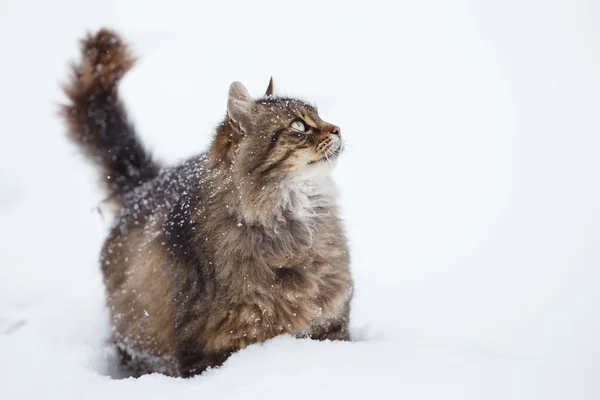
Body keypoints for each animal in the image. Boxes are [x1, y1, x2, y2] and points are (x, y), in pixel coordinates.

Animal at [61, 28, 352, 378]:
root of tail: (142, 187)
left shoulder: (331, 322)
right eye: (299, 125)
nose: (339, 129)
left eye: (319, 116)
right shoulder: (209, 346)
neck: (291, 219)